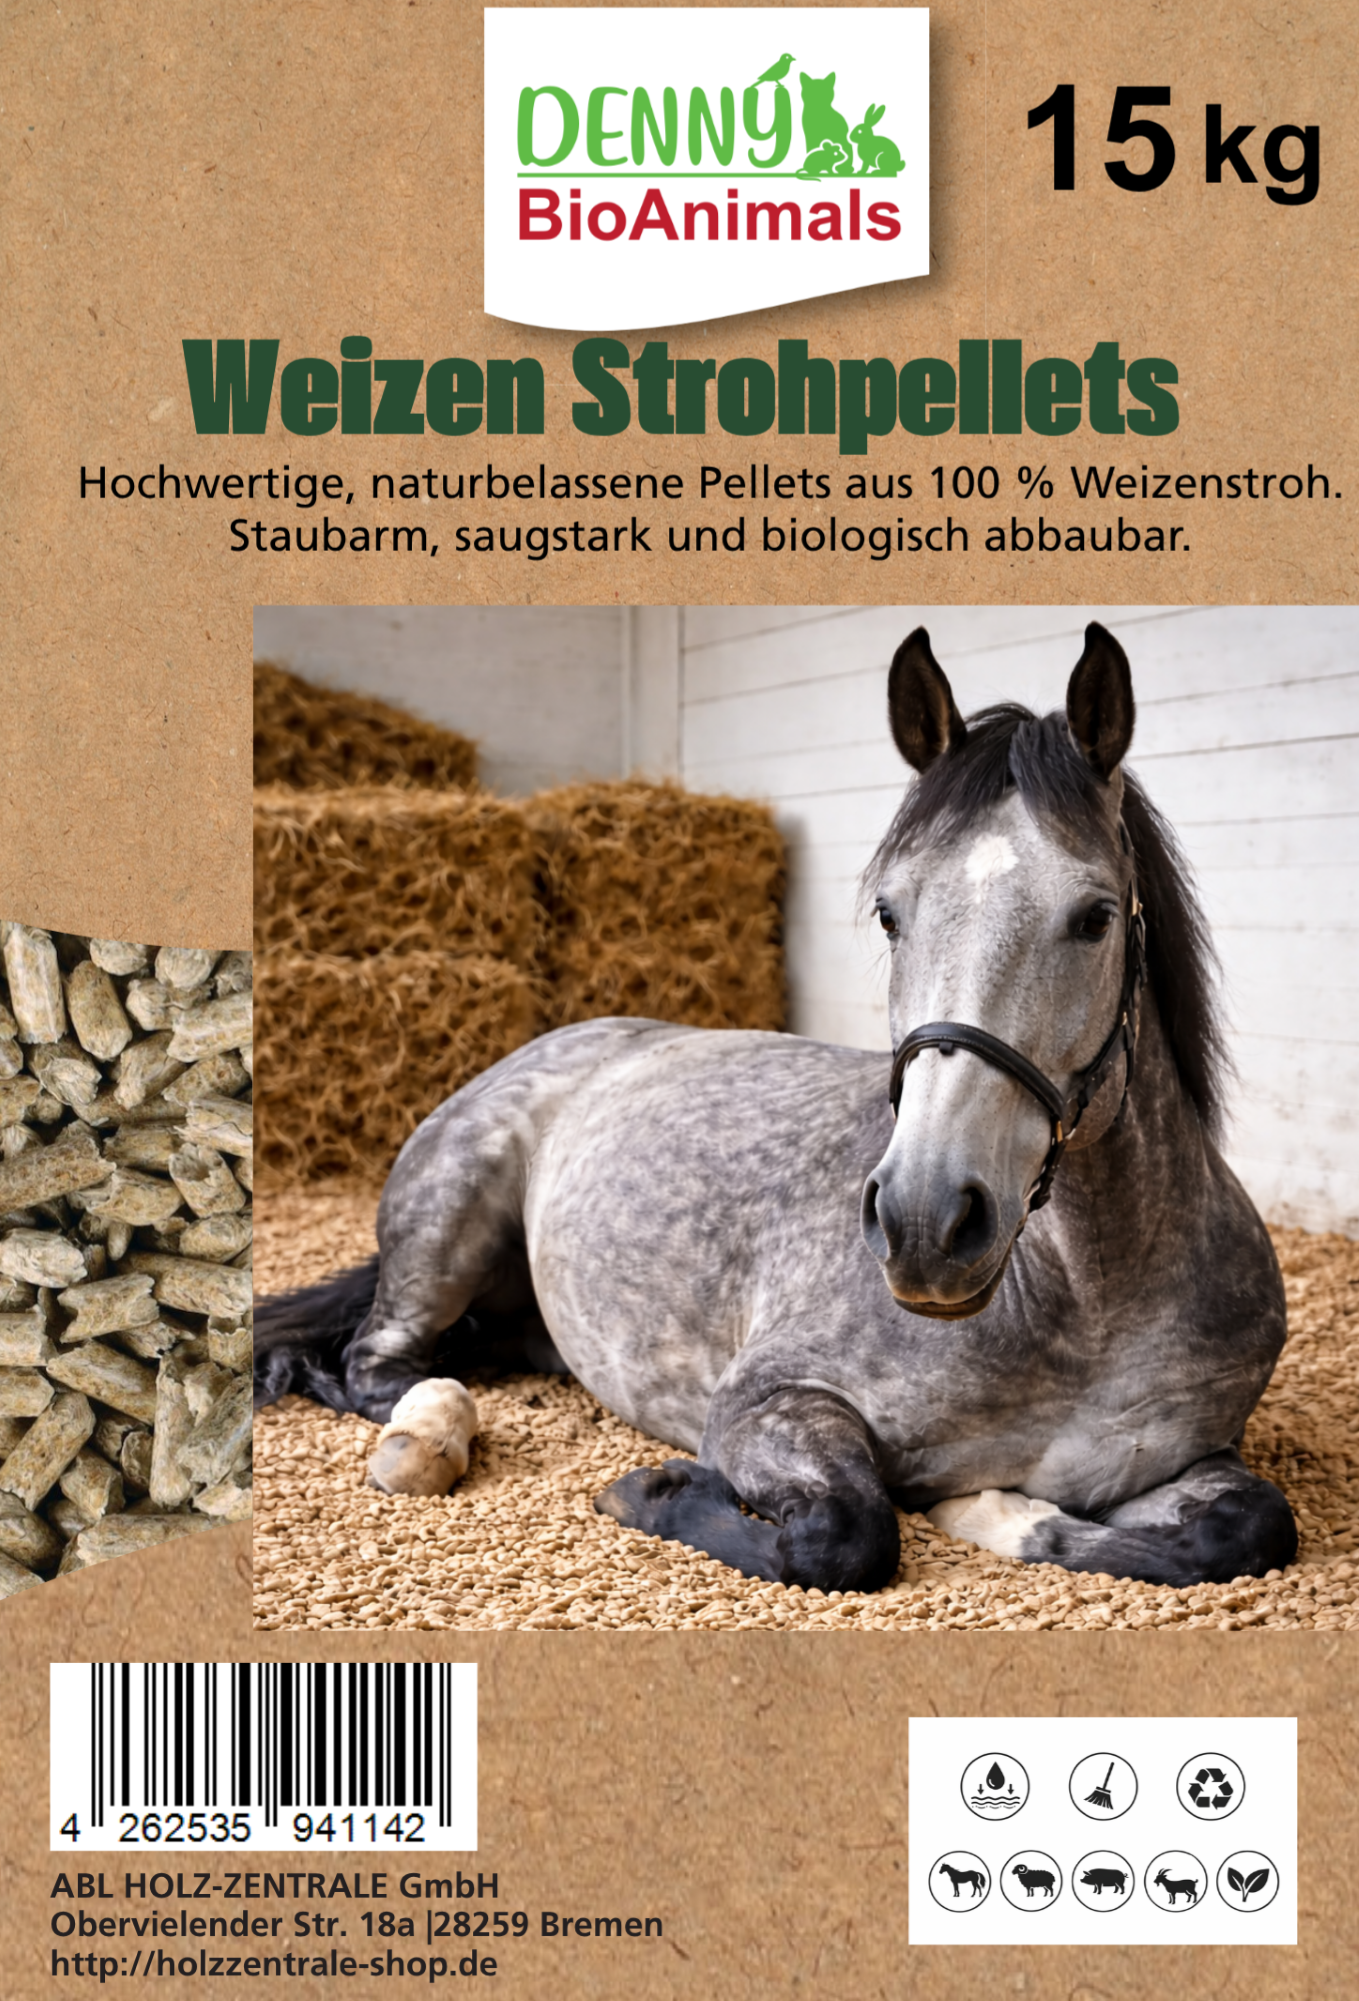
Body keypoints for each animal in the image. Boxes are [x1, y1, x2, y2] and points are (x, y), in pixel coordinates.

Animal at [255, 622, 1298, 1596]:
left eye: (1093, 917)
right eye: (889, 913)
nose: (925, 1221)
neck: (1084, 1302)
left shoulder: (1189, 1460)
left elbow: (1246, 1529)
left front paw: (999, 1512)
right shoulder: (769, 1403)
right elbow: (844, 1534)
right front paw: (654, 1489)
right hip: (449, 1222)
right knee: (380, 1364)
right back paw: (425, 1430)